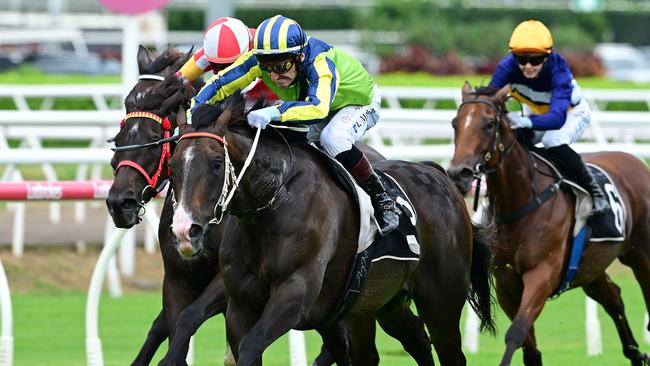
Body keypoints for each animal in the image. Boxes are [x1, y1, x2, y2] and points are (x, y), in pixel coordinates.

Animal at [167, 95, 492, 366]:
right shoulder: (240, 305)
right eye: (172, 164)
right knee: (417, 343)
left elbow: (251, 345)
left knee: (449, 353)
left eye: (216, 163)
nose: (185, 231)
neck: (275, 199)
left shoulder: (296, 292)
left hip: (441, 304)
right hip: (387, 304)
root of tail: (439, 176)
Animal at [446, 83, 648, 366]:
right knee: (614, 298)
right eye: (455, 123)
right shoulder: (506, 283)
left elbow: (516, 331)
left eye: (488, 124)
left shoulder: (542, 274)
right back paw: (635, 353)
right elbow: (529, 348)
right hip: (590, 267)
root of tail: (637, 162)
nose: (458, 173)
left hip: (640, 254)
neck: (522, 201)